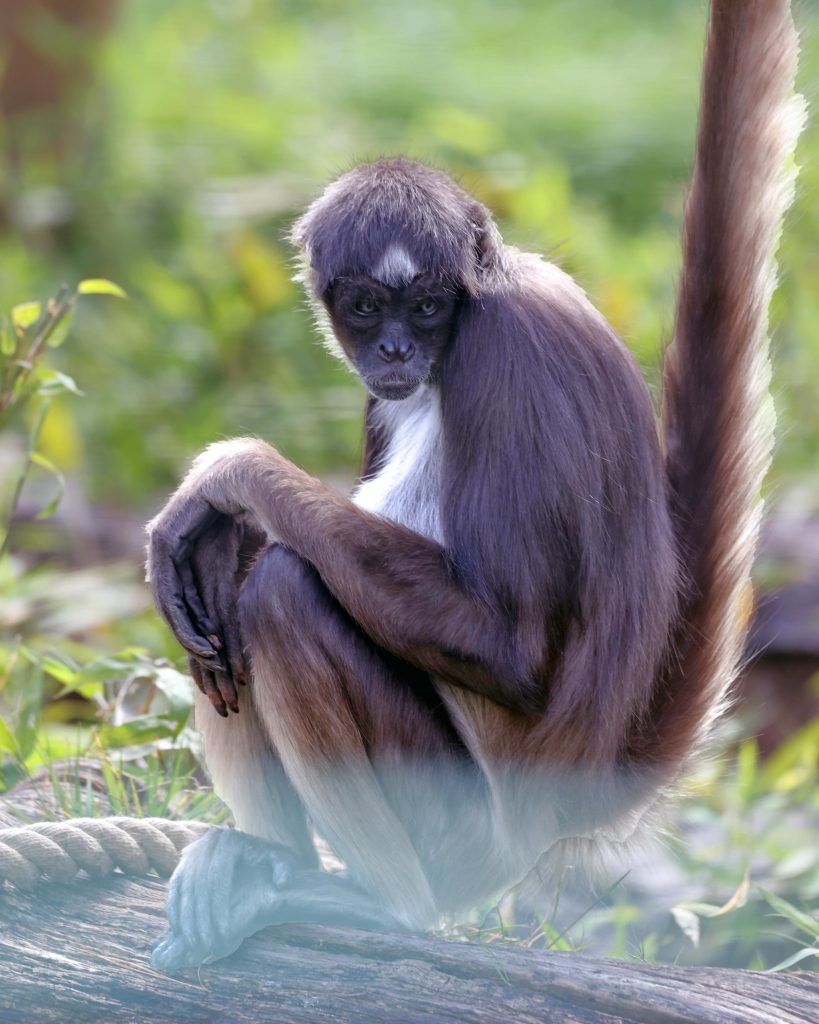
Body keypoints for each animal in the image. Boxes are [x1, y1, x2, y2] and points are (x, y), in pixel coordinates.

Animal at [146, 0, 804, 973]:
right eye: (365, 307)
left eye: (426, 307)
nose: (394, 351)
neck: (480, 307)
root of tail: (567, 798)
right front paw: (215, 515)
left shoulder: (503, 357)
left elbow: (512, 649)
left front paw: (228, 472)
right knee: (236, 584)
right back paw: (268, 859)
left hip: (465, 826)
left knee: (283, 589)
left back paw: (386, 906)